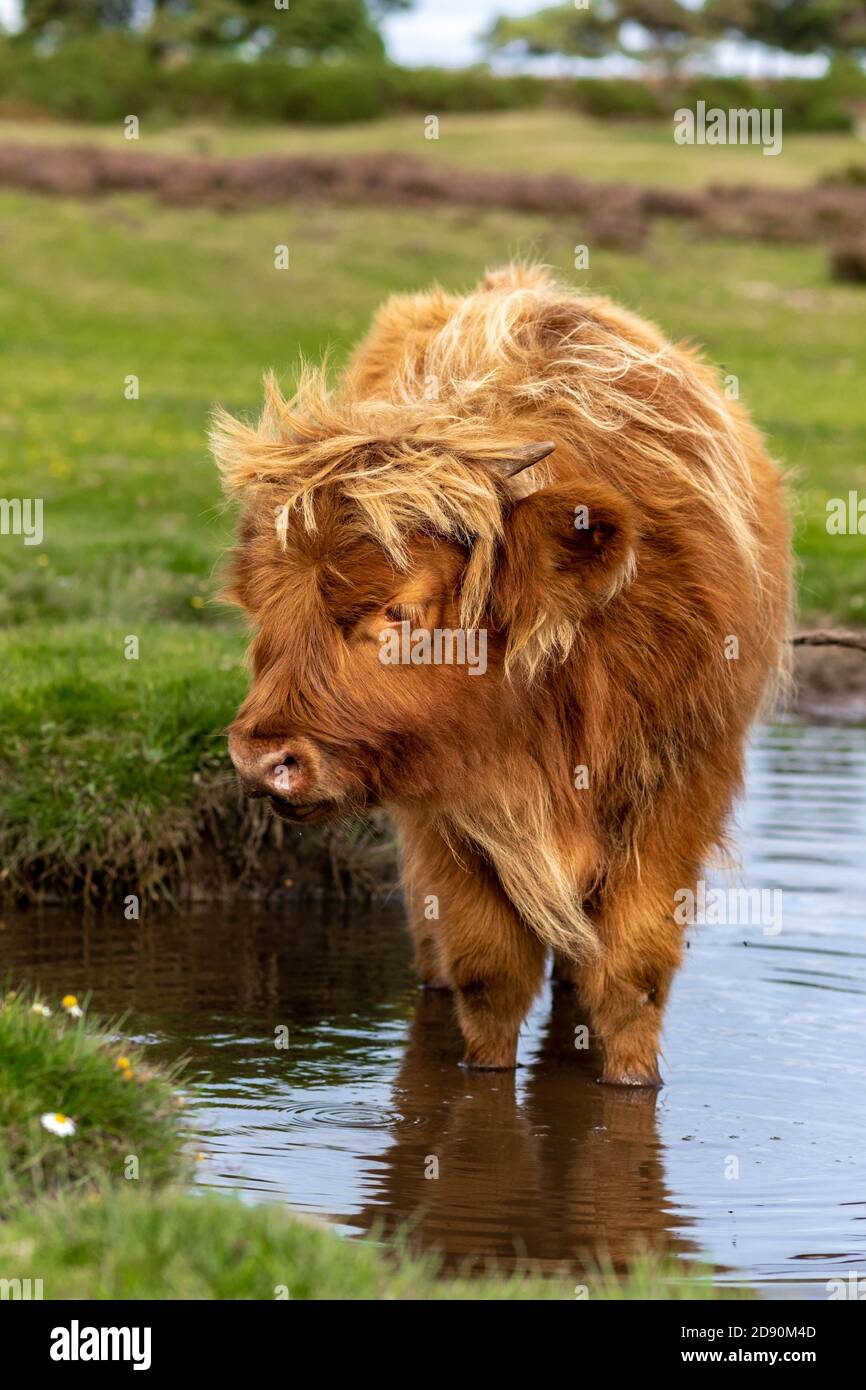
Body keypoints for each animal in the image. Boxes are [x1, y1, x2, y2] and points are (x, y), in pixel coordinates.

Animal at [213, 263, 791, 1086]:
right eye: (263, 608)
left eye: (399, 611)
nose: (261, 760)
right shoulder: (446, 807)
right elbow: (490, 975)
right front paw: (483, 1075)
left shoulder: (682, 785)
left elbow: (633, 973)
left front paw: (633, 1082)